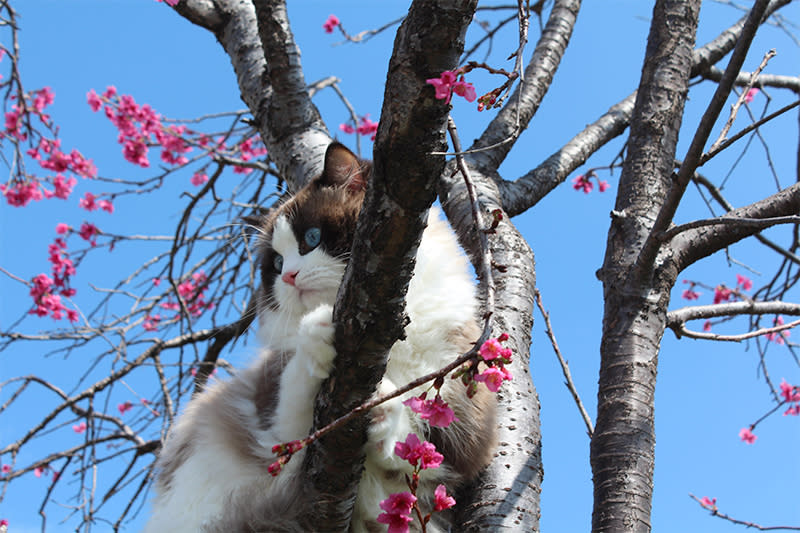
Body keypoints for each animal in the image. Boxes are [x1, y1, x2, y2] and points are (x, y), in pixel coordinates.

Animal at [143, 141, 494, 532]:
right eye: (277, 264)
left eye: (311, 239)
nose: (289, 277)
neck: (387, 346)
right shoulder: (275, 430)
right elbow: (296, 403)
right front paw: (319, 330)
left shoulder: (465, 427)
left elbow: (418, 450)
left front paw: (382, 414)